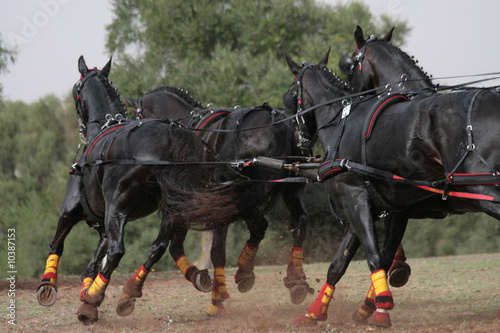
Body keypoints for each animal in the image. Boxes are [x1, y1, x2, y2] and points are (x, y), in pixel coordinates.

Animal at [37, 55, 236, 322]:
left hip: (118, 209)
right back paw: (130, 291)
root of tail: (171, 139)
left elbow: (57, 243)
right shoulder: (103, 220)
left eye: (76, 90)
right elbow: (94, 260)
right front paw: (87, 286)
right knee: (159, 247)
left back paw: (92, 302)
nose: (79, 126)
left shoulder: (74, 209)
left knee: (117, 251)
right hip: (172, 207)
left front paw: (49, 285)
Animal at [118, 85, 312, 314]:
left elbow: (193, 248)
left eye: (136, 117)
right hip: (289, 185)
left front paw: (217, 296)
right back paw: (294, 279)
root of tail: (276, 120)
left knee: (244, 233)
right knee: (297, 221)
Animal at [286, 50, 500, 326]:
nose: (299, 138)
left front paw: (380, 308)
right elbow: (340, 262)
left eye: (292, 94)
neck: (341, 122)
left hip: (482, 189)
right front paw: (315, 311)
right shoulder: (380, 205)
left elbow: (374, 255)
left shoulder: (354, 196)